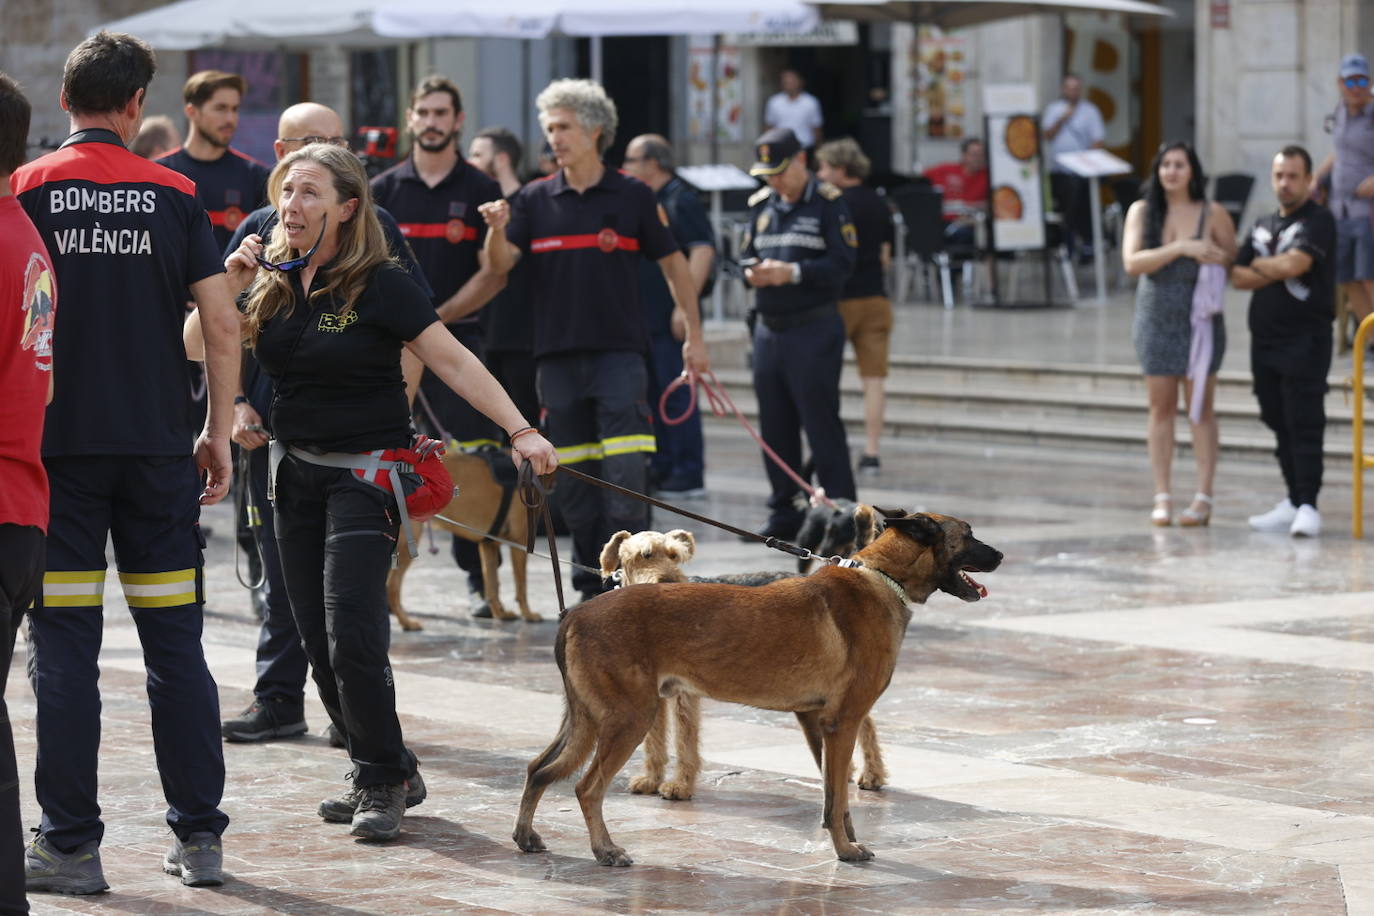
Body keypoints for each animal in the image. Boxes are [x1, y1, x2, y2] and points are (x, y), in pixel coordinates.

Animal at [387, 447, 541, 634]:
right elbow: (521, 585)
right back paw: (406, 623)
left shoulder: (488, 544)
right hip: (407, 544)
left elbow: (493, 585)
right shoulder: (520, 542)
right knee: (392, 587)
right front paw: (528, 614)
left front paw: (500, 614)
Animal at [601, 502, 890, 802]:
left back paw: (872, 774)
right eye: (645, 555)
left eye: (674, 555)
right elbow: (654, 740)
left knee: (865, 724)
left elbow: (685, 740)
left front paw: (680, 785)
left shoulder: (685, 694)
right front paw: (650, 779)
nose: (669, 581)